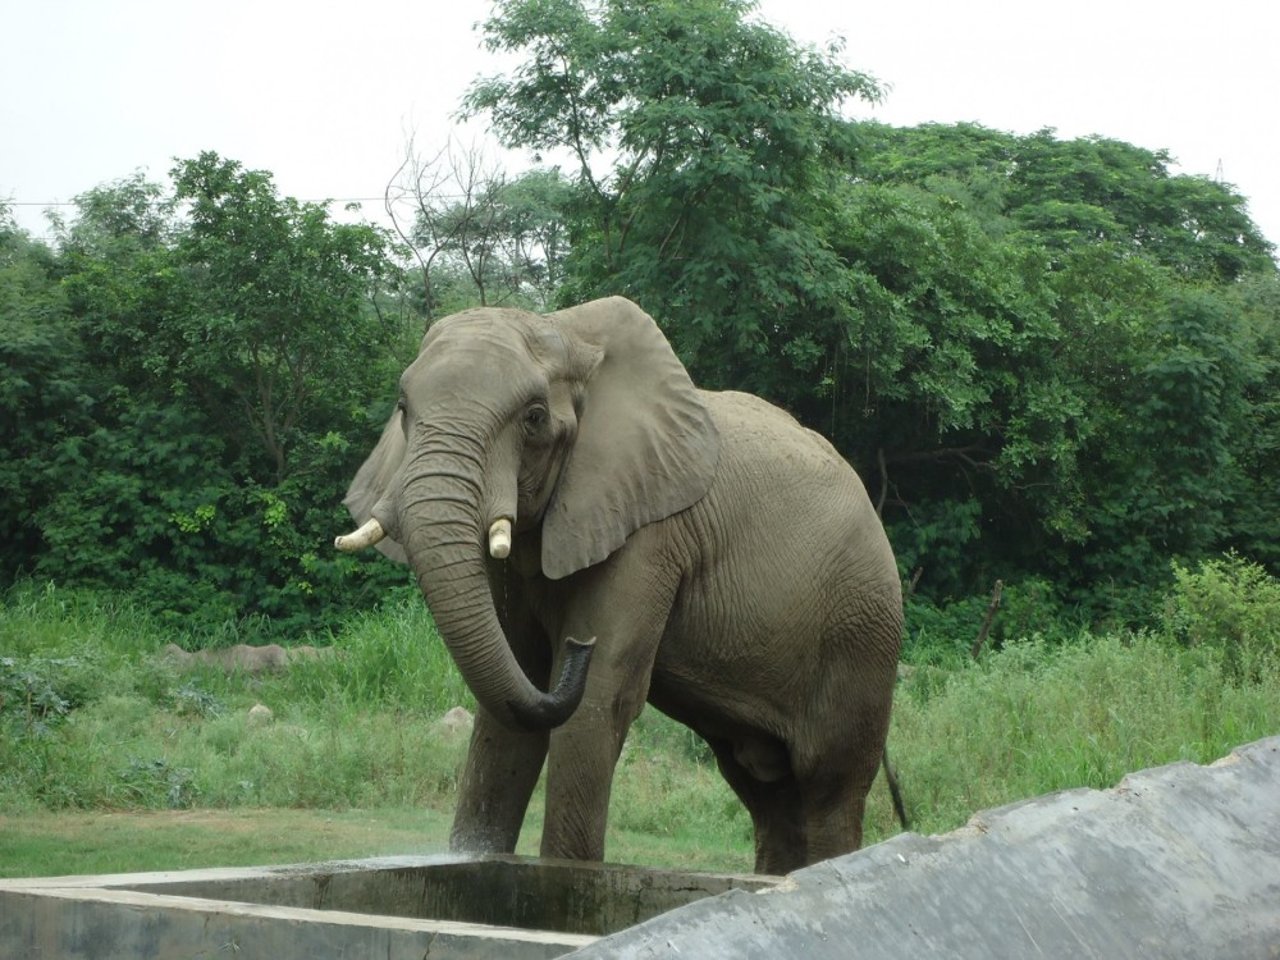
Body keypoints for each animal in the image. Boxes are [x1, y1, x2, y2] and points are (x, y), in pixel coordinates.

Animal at [335, 296, 906, 875]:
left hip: (860, 630)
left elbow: (598, 702)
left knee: (828, 785)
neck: (568, 334)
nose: (575, 647)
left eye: (534, 418)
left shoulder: (649, 533)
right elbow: (508, 709)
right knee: (766, 788)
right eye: (403, 408)